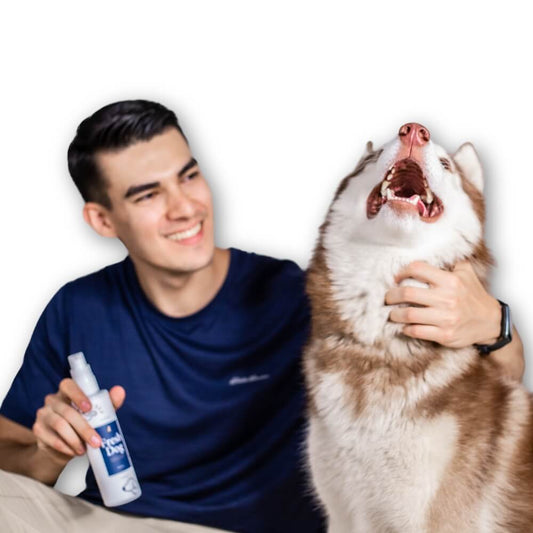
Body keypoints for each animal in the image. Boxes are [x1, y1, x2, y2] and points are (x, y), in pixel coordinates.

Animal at [304, 123, 533, 532]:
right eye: (373, 156)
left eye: (445, 164)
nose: (413, 131)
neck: (376, 353)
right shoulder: (342, 514)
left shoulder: (433, 520)